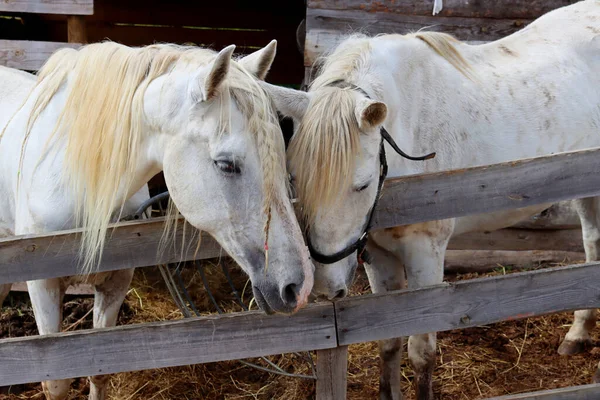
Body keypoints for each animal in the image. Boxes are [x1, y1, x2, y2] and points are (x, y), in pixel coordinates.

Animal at [0, 40, 312, 400]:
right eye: (226, 164)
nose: (299, 287)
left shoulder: (116, 281)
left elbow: (98, 372)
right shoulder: (42, 286)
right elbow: (57, 383)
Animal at [264, 1, 600, 398]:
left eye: (362, 185)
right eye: (294, 179)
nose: (327, 286)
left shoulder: (425, 253)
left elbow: (421, 352)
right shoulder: (378, 255)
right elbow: (388, 342)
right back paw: (578, 334)